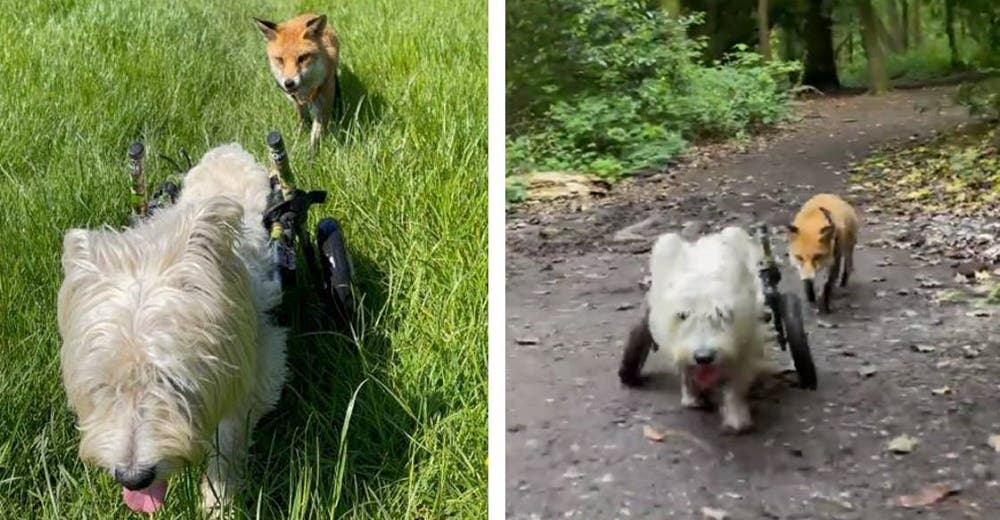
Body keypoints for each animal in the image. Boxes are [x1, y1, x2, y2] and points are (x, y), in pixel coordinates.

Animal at [57, 144, 288, 512]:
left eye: (173, 381)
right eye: (104, 386)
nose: (133, 478)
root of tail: (227, 148)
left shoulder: (259, 366)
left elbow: (229, 437)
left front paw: (217, 502)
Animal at [252, 13, 342, 150]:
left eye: (302, 58)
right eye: (280, 59)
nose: (289, 83)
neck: (305, 92)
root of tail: (307, 14)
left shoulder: (323, 104)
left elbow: (316, 136)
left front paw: (311, 154)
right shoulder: (297, 102)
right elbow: (303, 121)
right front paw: (298, 140)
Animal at [648, 225, 764, 432]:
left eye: (722, 314)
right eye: (683, 315)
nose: (704, 357)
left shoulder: (744, 344)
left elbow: (735, 383)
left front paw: (736, 417)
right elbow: (685, 369)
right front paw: (691, 397)